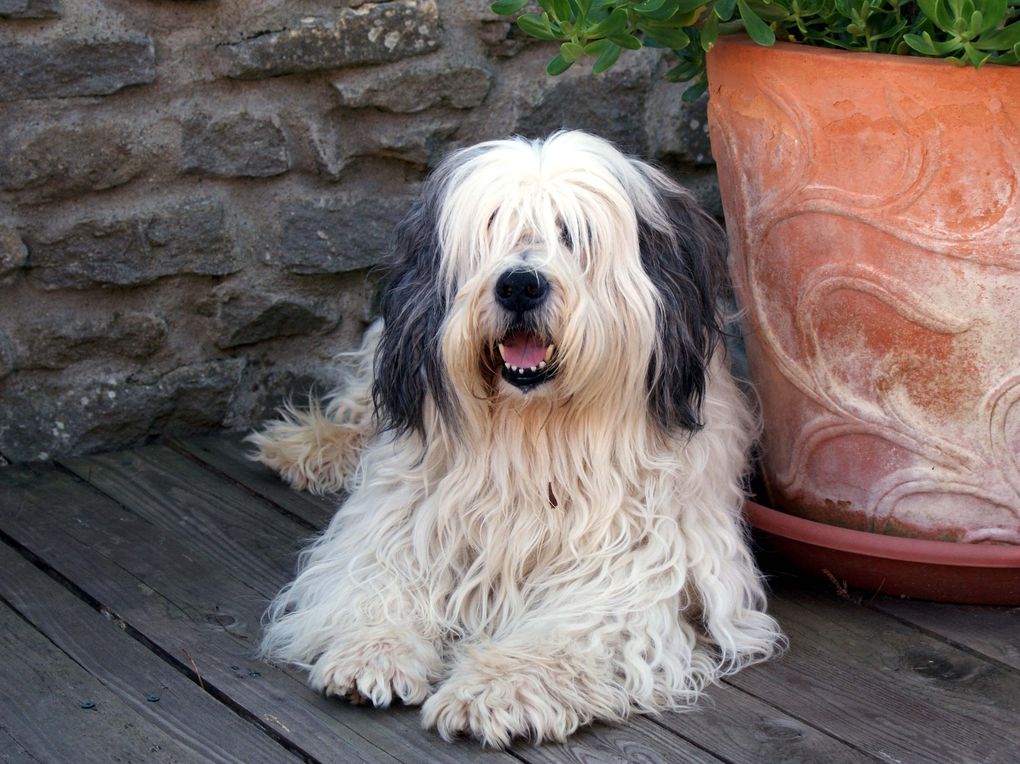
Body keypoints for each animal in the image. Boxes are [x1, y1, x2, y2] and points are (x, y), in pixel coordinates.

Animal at [250, 129, 783, 746]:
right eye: (491, 228)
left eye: (572, 234)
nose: (520, 285)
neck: (535, 435)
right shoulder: (402, 516)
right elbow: (381, 576)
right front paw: (372, 652)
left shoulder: (631, 568)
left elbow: (566, 632)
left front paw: (495, 691)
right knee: (363, 409)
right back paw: (304, 446)